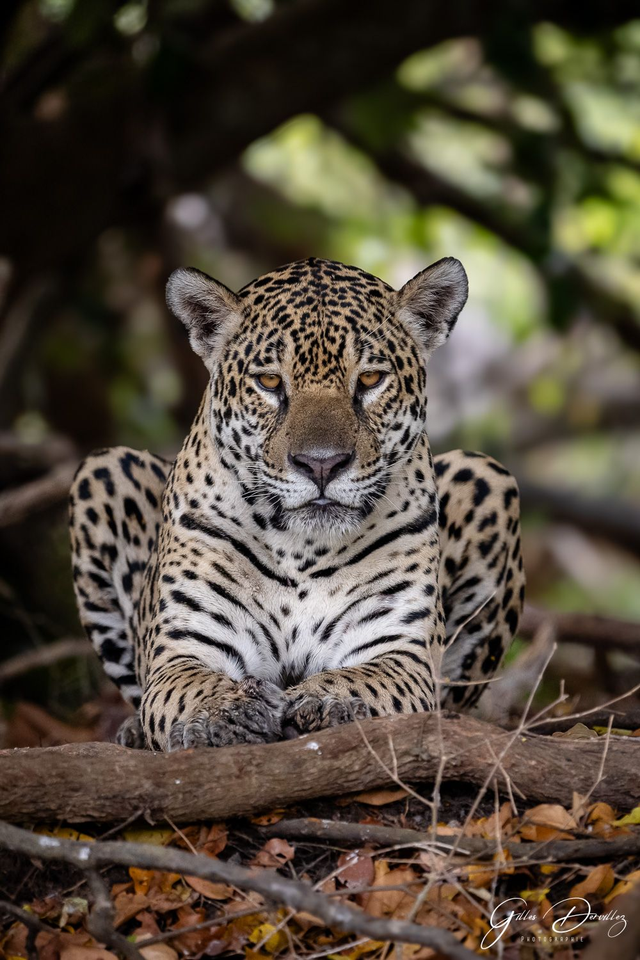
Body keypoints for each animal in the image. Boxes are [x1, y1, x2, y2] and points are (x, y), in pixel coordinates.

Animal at [69, 256, 524, 751]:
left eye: (370, 379)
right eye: (269, 381)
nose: (321, 464)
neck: (303, 548)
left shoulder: (402, 650)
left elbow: (369, 679)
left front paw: (328, 698)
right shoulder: (184, 645)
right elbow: (188, 687)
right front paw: (224, 713)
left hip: (486, 476)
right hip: (105, 468)